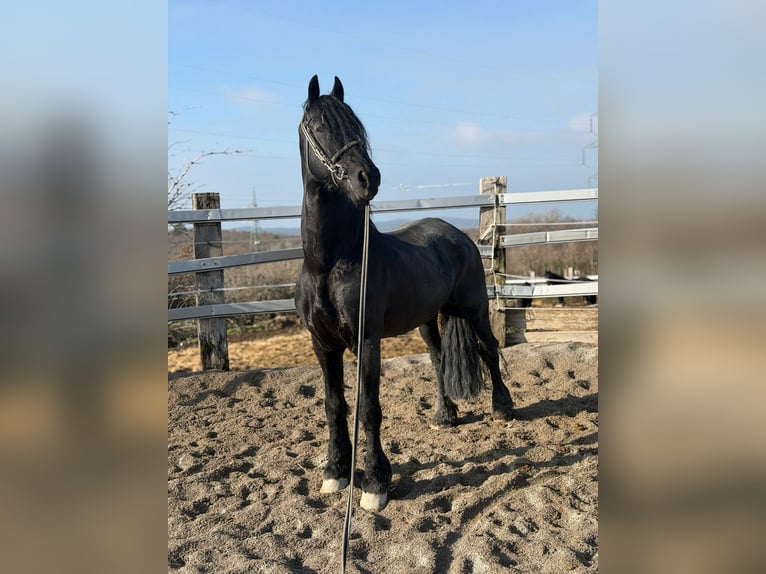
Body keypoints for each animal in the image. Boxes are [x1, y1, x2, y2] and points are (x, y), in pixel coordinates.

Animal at [295, 75, 514, 512]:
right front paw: (334, 473)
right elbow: (333, 405)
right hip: (429, 319)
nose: (368, 178)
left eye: (356, 126)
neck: (330, 263)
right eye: (320, 127)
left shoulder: (367, 341)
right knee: (437, 356)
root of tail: (457, 235)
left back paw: (503, 408)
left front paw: (375, 484)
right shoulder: (322, 344)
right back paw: (445, 415)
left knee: (489, 349)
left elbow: (368, 408)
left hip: (475, 310)